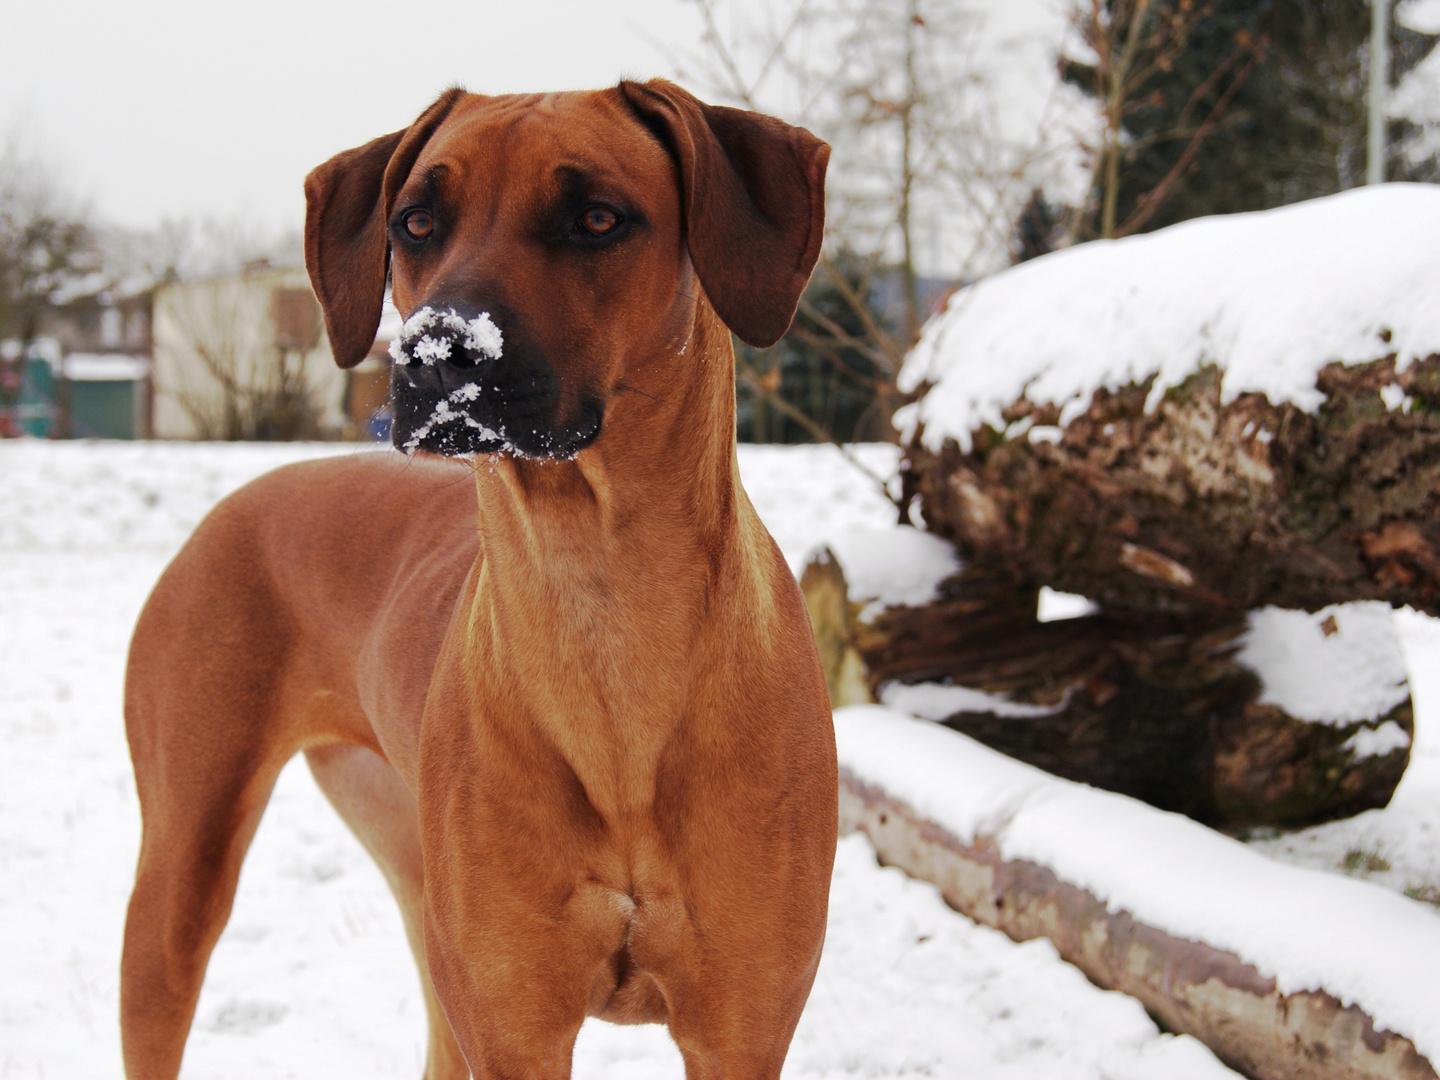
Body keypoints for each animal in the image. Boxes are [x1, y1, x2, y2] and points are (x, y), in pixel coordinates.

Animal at [122, 80, 840, 1077]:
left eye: (597, 217)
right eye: (417, 222)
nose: (436, 353)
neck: (599, 598)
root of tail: (240, 500)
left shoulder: (742, 1027)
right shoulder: (512, 1025)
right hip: (182, 882)